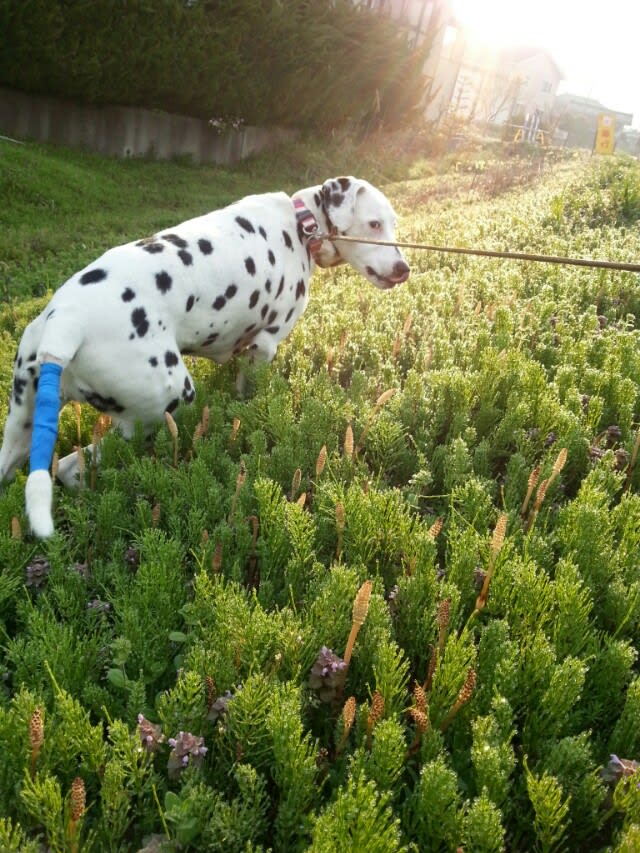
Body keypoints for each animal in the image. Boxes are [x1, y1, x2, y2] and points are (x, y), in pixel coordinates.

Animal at [0, 176, 410, 536]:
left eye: (393, 223)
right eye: (373, 224)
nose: (404, 268)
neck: (299, 225)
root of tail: (65, 321)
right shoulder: (264, 346)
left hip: (21, 426)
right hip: (164, 407)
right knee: (71, 466)